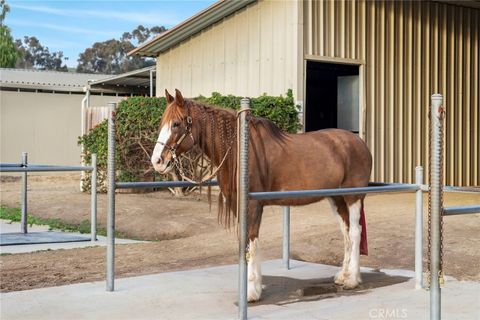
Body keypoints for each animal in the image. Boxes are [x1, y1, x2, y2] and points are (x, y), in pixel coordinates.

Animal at [152, 89, 374, 302]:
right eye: (163, 122)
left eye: (176, 124)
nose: (157, 161)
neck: (241, 152)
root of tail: (359, 143)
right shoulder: (237, 204)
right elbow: (247, 243)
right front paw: (254, 286)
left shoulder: (252, 205)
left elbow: (252, 242)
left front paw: (251, 291)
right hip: (336, 198)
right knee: (346, 232)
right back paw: (343, 276)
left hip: (353, 197)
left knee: (355, 232)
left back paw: (352, 280)